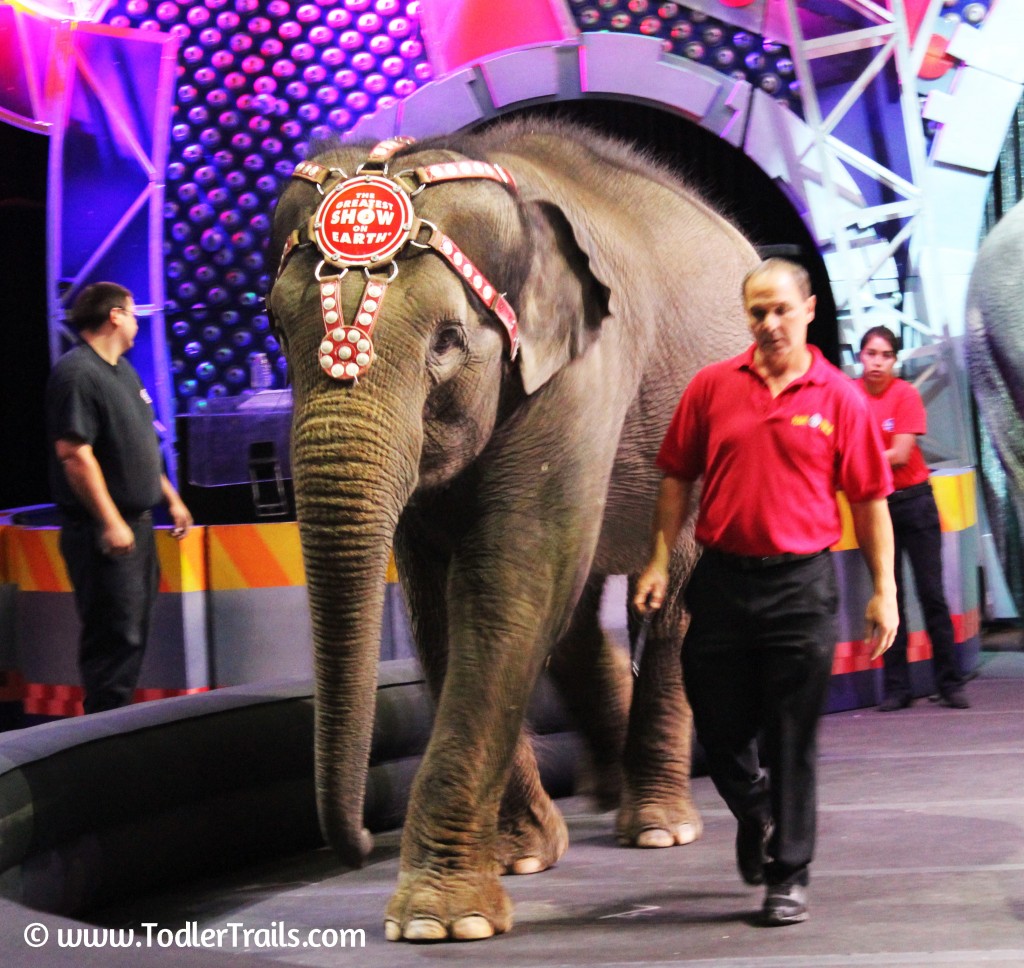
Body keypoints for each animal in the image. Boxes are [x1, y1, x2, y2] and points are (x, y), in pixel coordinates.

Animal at [268, 117, 757, 942]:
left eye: (446, 341)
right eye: (274, 328)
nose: (358, 841)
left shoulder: (581, 372)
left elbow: (507, 579)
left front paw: (438, 921)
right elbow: (443, 601)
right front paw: (522, 857)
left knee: (666, 604)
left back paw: (657, 825)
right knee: (576, 612)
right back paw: (608, 785)